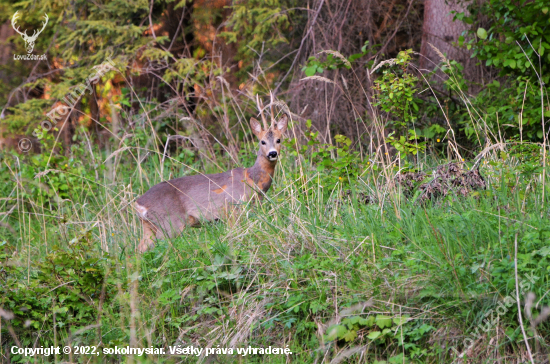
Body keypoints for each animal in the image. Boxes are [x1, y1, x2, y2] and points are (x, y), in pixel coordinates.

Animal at [135, 101, 288, 252]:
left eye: (279, 140)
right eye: (262, 141)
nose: (272, 153)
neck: (252, 181)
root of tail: (139, 204)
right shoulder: (232, 208)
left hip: (150, 226)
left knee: (139, 251)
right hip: (169, 223)